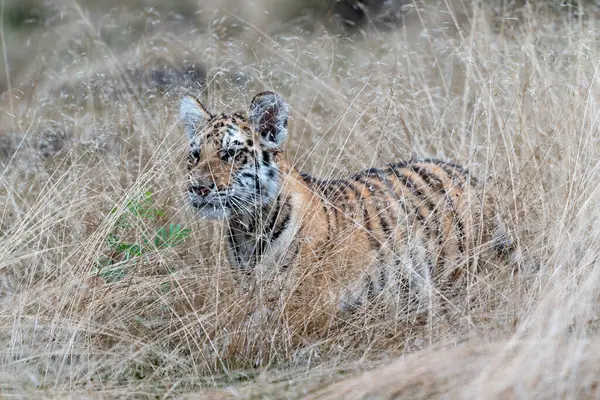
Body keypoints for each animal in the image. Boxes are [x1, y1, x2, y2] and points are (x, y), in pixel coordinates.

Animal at [179, 90, 520, 318]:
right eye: (195, 155)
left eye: (230, 154)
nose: (198, 188)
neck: (247, 226)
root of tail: (472, 176)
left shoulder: (305, 308)